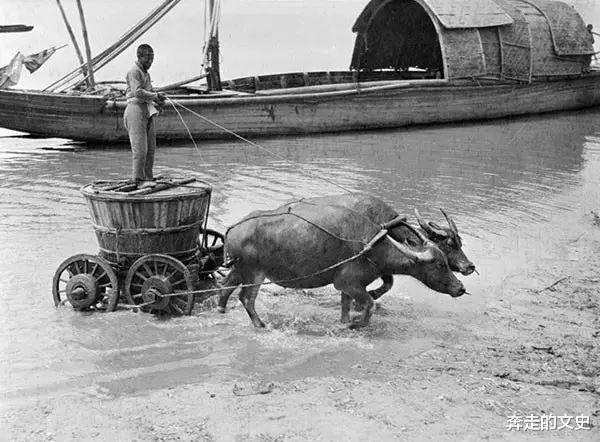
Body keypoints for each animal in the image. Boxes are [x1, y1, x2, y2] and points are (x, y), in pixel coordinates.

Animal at [218, 199, 466, 328]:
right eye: (440, 265)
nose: (461, 287)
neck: (372, 245)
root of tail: (234, 228)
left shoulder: (348, 287)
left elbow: (347, 306)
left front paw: (345, 322)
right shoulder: (350, 284)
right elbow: (369, 305)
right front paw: (355, 324)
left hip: (239, 269)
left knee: (225, 286)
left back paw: (221, 308)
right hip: (253, 273)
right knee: (246, 298)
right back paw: (261, 325)